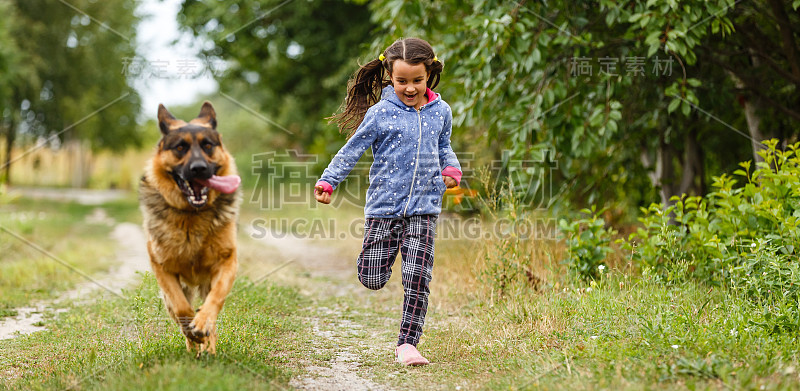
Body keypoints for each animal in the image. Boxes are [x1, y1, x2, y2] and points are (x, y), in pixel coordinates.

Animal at [139, 102, 242, 356]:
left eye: (208, 145)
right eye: (180, 147)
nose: (198, 169)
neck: (193, 216)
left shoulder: (228, 263)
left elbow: (215, 299)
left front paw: (202, 325)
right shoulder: (163, 269)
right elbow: (182, 309)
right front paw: (192, 332)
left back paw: (208, 347)